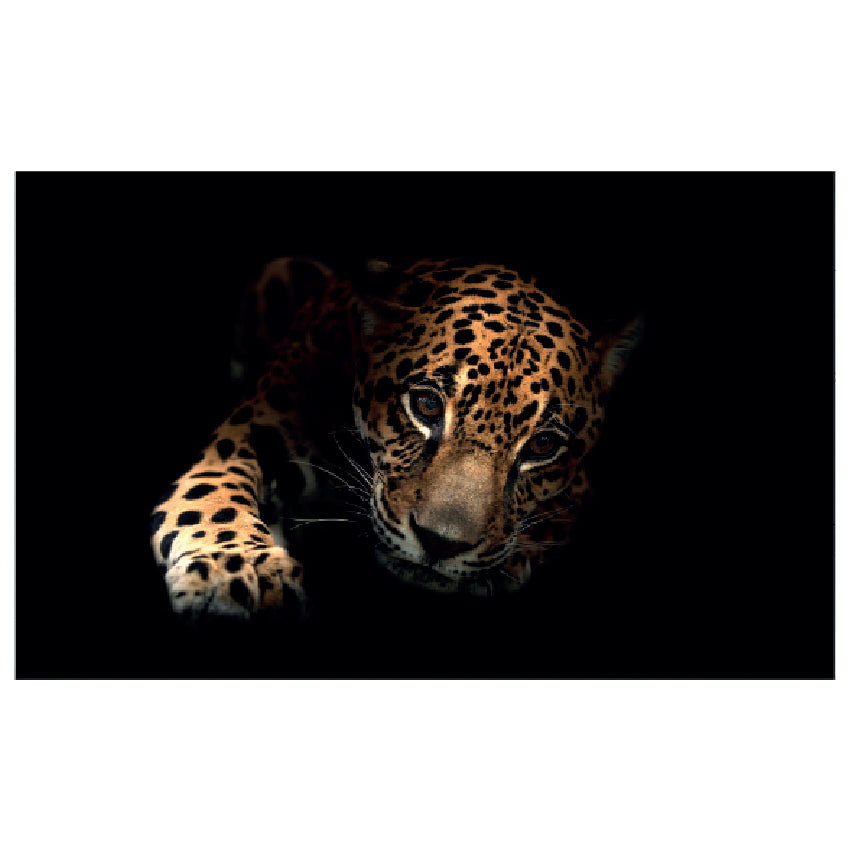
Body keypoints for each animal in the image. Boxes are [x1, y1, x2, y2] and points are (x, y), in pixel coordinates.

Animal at [149, 257, 642, 620]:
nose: (441, 544)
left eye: (543, 446)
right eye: (426, 405)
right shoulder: (260, 424)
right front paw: (236, 571)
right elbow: (212, 491)